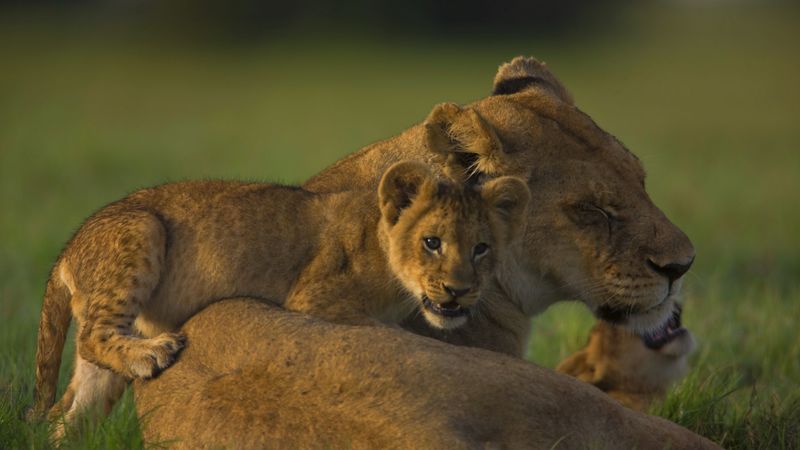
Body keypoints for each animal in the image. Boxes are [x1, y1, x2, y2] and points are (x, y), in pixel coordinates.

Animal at [28, 160, 530, 435]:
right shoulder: (314, 299)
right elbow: (384, 329)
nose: (459, 291)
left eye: (481, 248)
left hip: (101, 368)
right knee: (92, 336)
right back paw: (153, 353)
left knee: (68, 411)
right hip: (142, 228)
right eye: (432, 243)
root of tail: (67, 249)